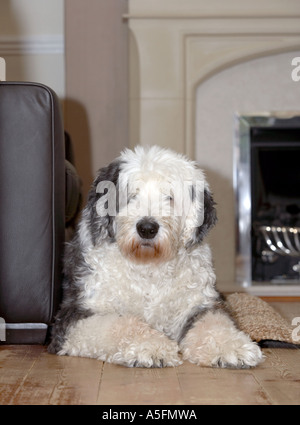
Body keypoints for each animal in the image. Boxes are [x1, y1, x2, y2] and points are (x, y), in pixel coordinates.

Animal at [48, 146, 262, 368]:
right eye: (131, 195)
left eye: (169, 196)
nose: (147, 228)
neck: (148, 266)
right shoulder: (76, 313)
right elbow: (119, 323)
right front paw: (151, 347)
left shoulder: (198, 302)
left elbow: (213, 322)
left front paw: (232, 348)